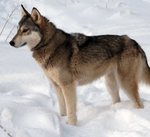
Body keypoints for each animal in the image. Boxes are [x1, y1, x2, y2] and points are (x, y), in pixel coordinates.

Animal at [9, 5, 150, 125]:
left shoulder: (68, 86)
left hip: (125, 83)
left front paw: (72, 126)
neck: (49, 45)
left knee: (139, 103)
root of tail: (134, 42)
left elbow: (71, 111)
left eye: (25, 30)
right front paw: (63, 121)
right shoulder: (57, 87)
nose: (11, 42)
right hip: (111, 84)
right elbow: (63, 110)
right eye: (17, 30)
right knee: (118, 99)